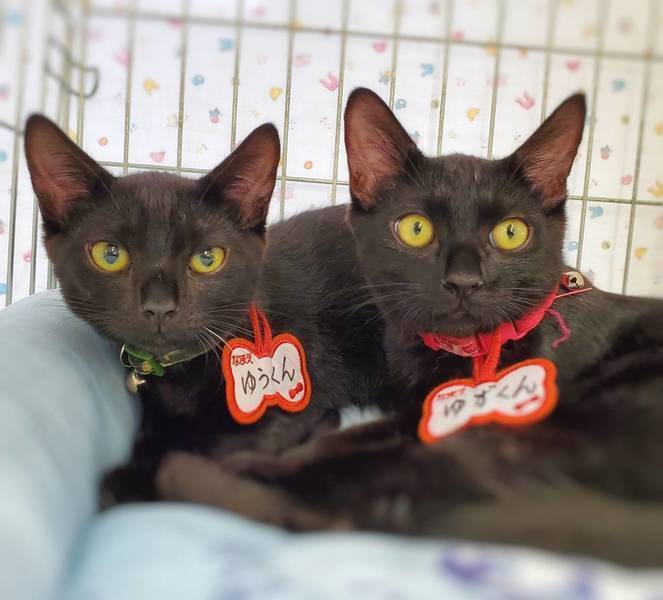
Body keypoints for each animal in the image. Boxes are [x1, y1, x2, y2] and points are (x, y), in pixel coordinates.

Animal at [24, 115, 387, 502]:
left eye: (207, 258)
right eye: (110, 254)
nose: (159, 306)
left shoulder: (295, 401)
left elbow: (210, 447)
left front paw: (132, 477)